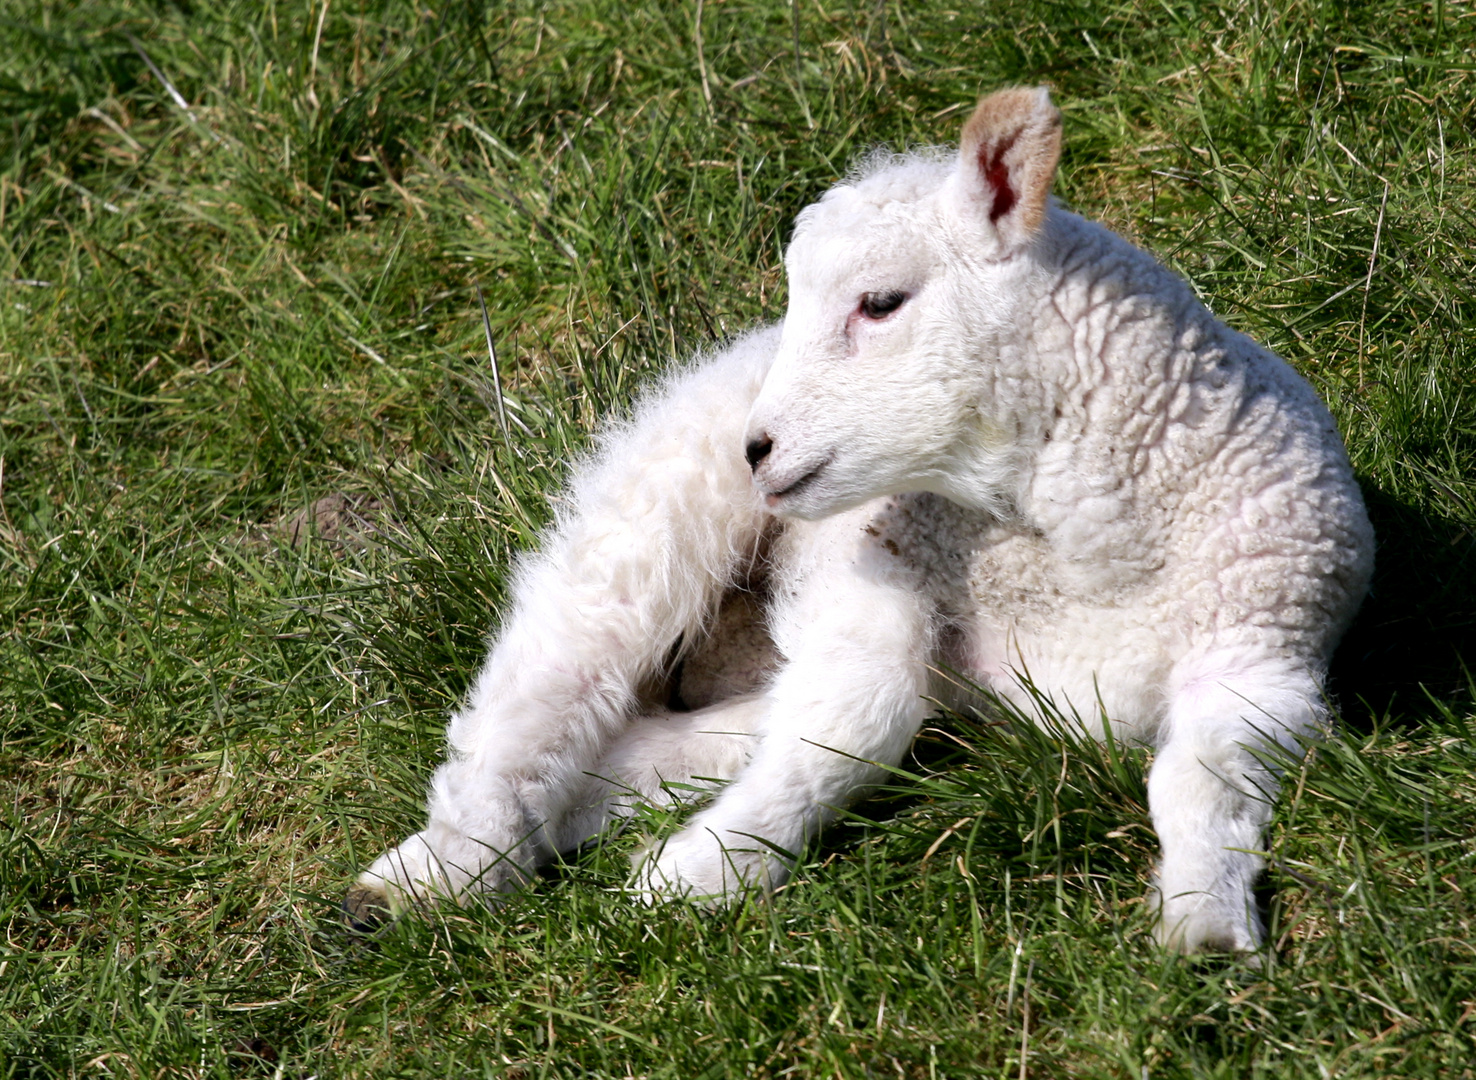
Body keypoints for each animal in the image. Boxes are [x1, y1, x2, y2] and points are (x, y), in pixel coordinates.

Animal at [345, 90, 1369, 956]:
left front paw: (1206, 923)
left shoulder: (1265, 655)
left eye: (879, 302)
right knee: (546, 679)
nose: (757, 450)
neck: (1078, 556)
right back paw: (428, 877)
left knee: (663, 741)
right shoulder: (859, 571)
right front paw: (697, 874)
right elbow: (864, 712)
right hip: (651, 515)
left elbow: (1202, 778)